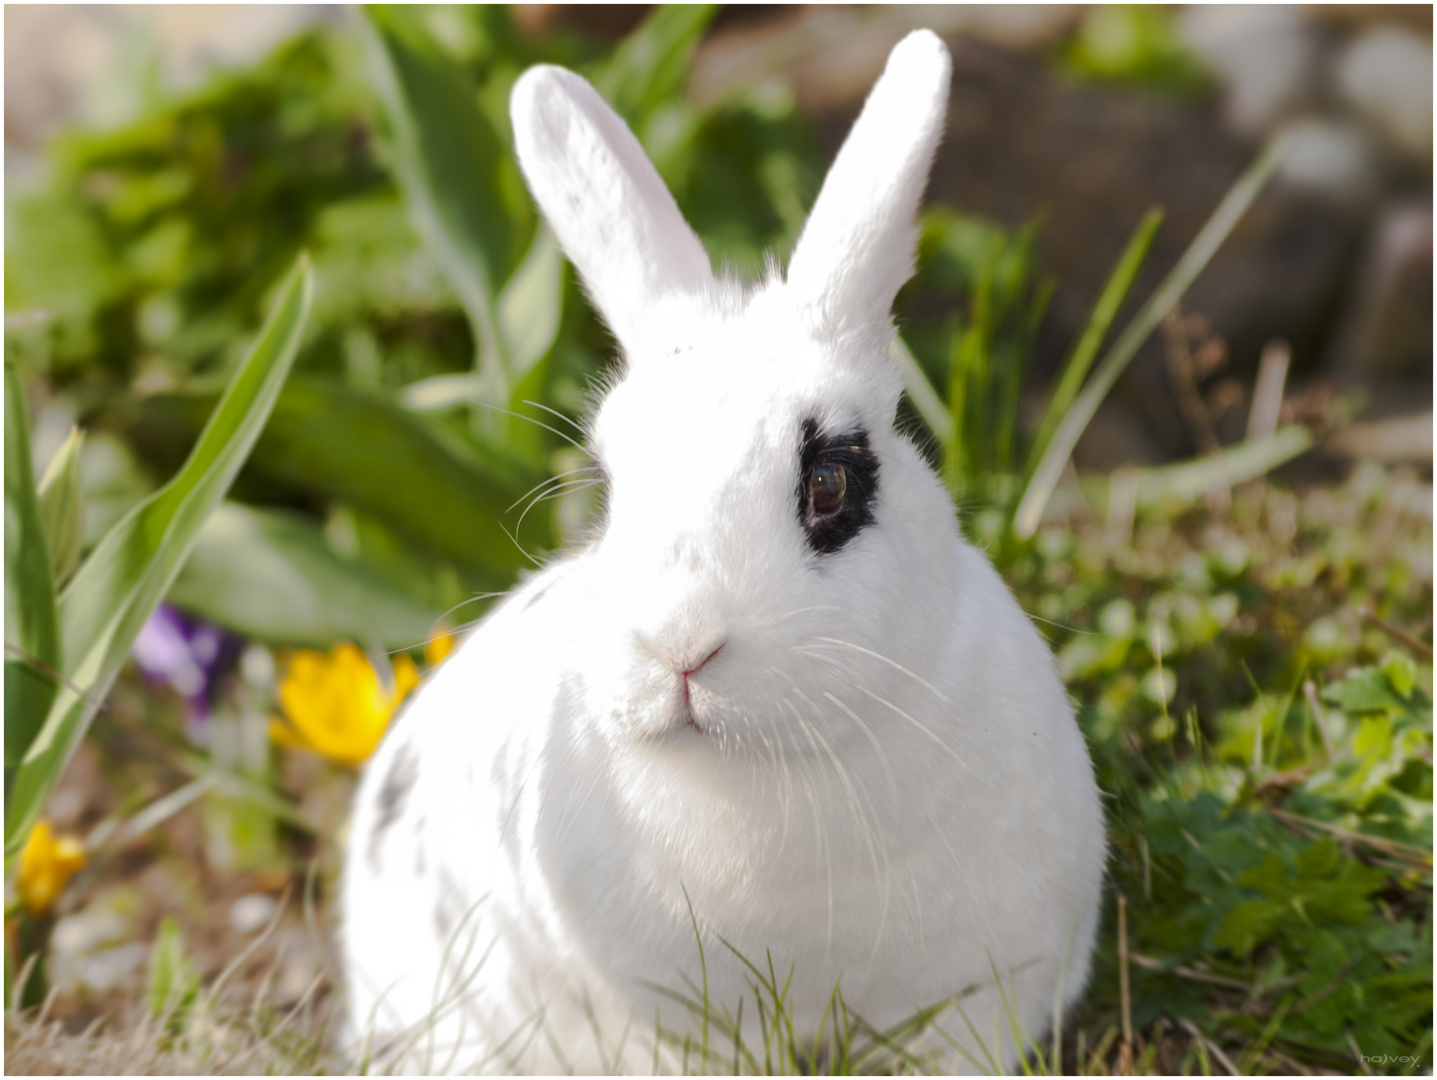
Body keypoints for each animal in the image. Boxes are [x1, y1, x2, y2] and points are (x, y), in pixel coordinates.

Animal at [342, 29, 1103, 1074]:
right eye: (608, 488)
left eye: (828, 484)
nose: (679, 647)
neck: (762, 769)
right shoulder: (659, 1019)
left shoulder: (984, 993)